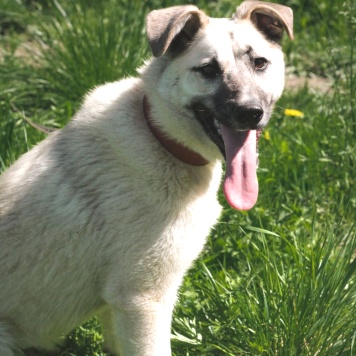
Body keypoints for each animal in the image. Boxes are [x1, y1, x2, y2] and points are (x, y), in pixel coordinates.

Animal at [0, 1, 294, 354]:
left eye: (260, 63)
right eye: (208, 70)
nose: (250, 113)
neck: (160, 137)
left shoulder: (120, 308)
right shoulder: (142, 300)